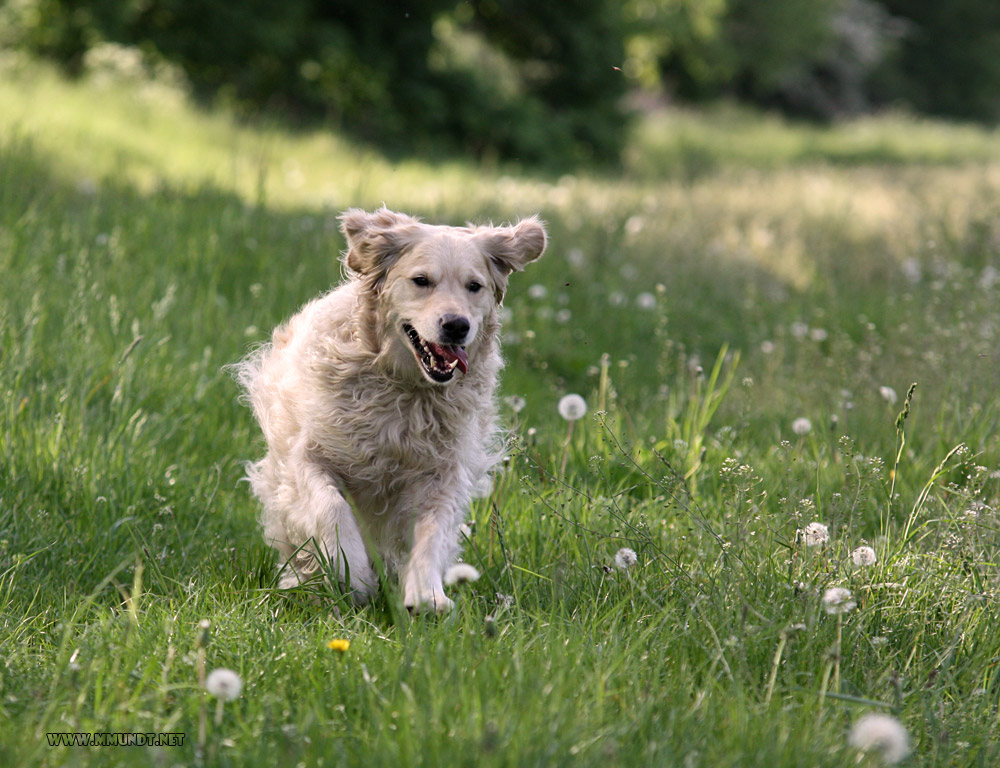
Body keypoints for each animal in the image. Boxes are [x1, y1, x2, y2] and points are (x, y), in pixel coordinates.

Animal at [234, 207, 548, 616]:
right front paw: (353, 575)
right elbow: (331, 508)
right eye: (421, 281)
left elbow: (433, 530)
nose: (456, 325)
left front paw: (427, 594)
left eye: (474, 286)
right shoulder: (307, 457)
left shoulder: (442, 473)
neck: (404, 389)